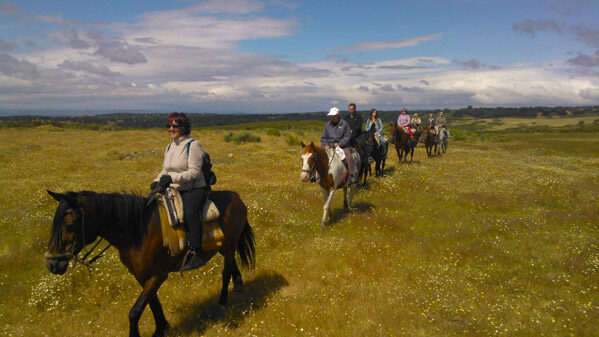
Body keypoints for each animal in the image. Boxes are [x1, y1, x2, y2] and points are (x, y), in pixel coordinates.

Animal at [44, 189, 255, 336]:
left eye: (70, 224)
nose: (52, 264)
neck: (137, 231)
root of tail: (235, 197)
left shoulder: (158, 275)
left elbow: (135, 310)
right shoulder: (141, 274)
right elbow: (153, 303)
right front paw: (161, 328)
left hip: (229, 245)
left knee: (225, 272)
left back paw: (222, 302)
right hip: (223, 247)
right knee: (232, 265)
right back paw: (238, 286)